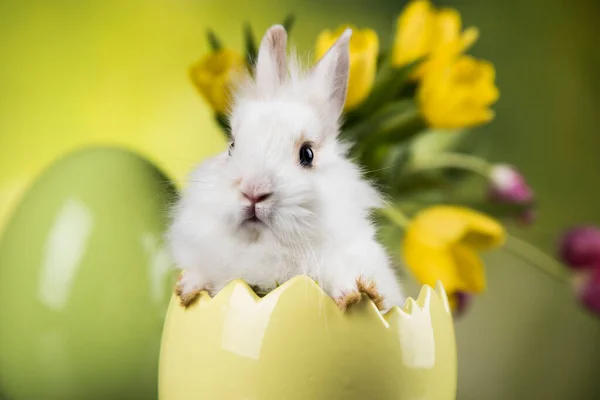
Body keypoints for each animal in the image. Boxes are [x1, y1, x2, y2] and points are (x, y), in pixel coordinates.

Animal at [166, 24, 406, 312]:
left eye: (307, 154)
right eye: (232, 146)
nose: (253, 191)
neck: (264, 248)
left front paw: (353, 294)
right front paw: (188, 288)